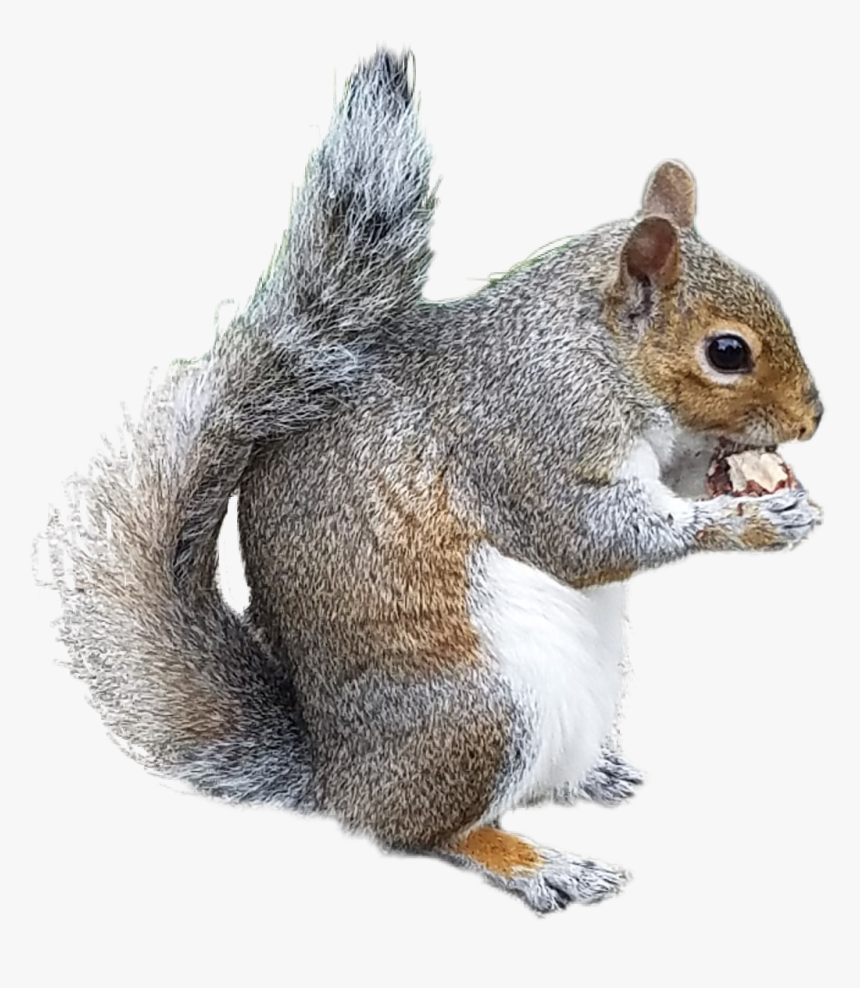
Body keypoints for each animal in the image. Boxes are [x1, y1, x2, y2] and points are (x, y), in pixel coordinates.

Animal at [42, 48, 824, 914]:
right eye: (728, 352)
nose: (814, 418)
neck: (595, 353)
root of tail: (337, 777)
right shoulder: (525, 437)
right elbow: (588, 540)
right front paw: (752, 523)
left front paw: (736, 474)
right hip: (479, 715)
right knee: (433, 832)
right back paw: (535, 862)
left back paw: (592, 774)